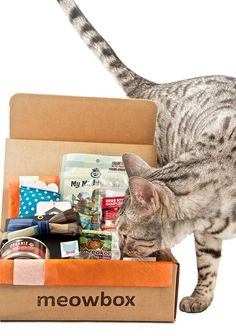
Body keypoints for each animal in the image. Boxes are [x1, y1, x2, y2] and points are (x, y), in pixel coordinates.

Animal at [56, 0, 236, 316]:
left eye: (127, 235)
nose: (120, 254)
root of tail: (155, 86)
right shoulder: (205, 236)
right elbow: (206, 265)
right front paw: (200, 297)